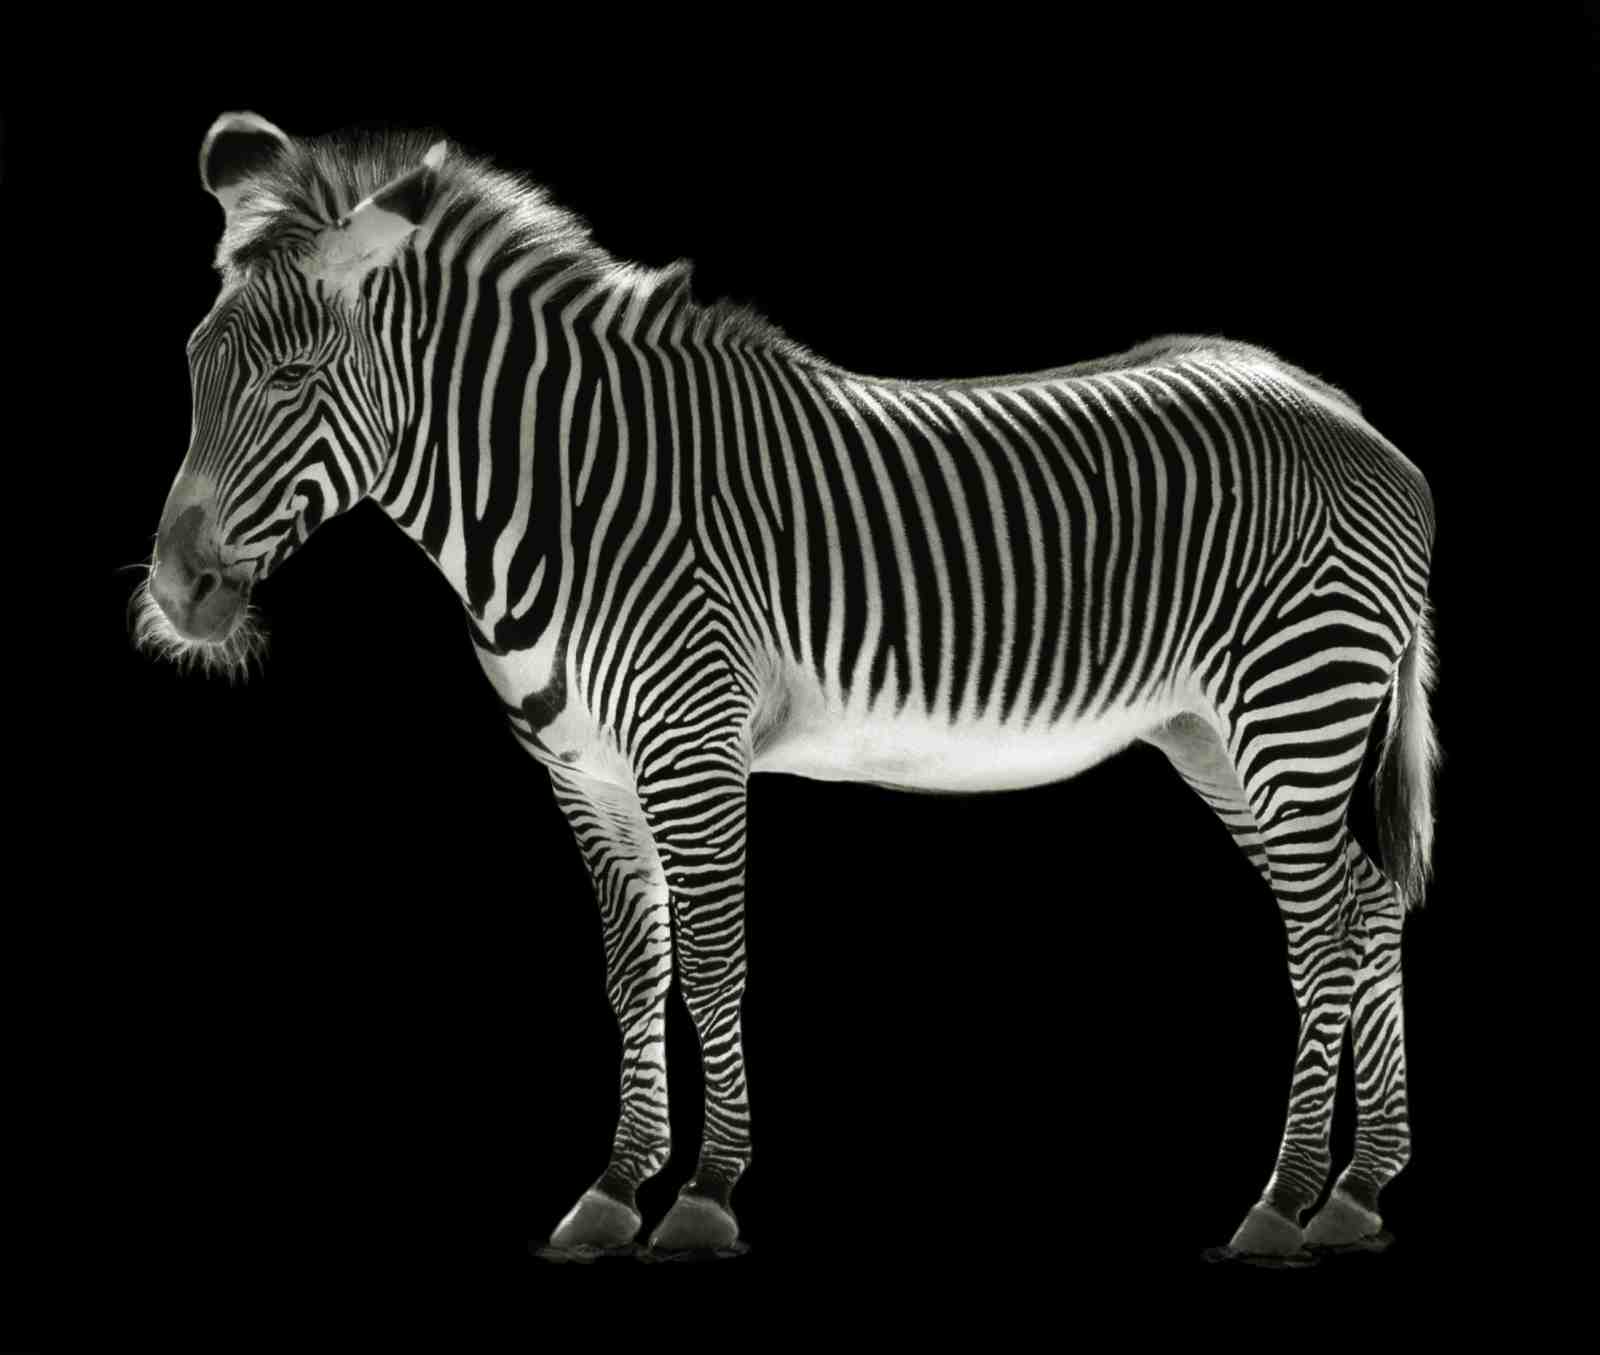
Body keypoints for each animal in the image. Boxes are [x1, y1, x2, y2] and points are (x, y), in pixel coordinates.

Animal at [135, 111, 1439, 1260]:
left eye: (295, 376)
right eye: (196, 365)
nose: (178, 592)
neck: (564, 501)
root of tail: (1350, 413)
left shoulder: (692, 744)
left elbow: (714, 959)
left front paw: (705, 1196)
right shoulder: (585, 773)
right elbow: (634, 973)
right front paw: (613, 1190)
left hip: (1292, 706)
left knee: (1327, 932)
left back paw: (1282, 1201)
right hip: (1215, 733)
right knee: (1367, 905)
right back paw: (1356, 1190)